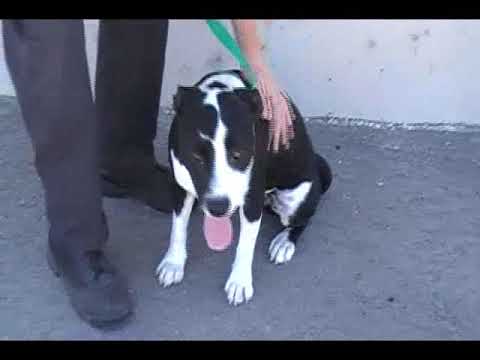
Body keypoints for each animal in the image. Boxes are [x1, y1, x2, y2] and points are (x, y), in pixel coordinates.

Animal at [156, 69, 332, 306]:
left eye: (237, 155)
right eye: (196, 157)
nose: (218, 207)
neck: (220, 87)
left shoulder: (252, 199)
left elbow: (245, 245)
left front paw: (239, 282)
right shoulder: (179, 185)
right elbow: (178, 227)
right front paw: (174, 262)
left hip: (296, 200)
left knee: (302, 221)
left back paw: (284, 242)